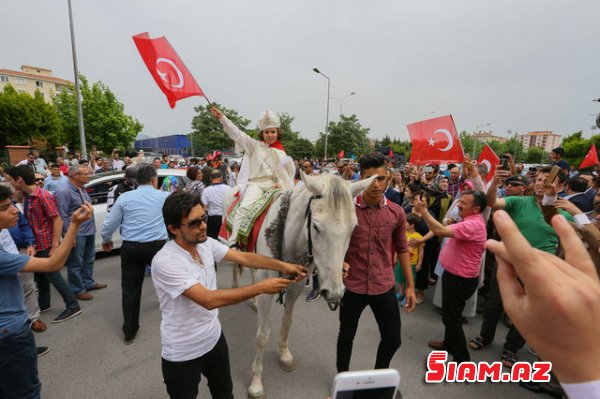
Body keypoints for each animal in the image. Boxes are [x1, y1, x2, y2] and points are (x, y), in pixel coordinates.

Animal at [223, 173, 376, 398]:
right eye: (316, 227)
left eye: (353, 228)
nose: (334, 292)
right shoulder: (267, 289)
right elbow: (262, 336)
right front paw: (256, 383)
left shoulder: (296, 286)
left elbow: (288, 321)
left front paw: (284, 355)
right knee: (235, 261)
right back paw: (234, 288)